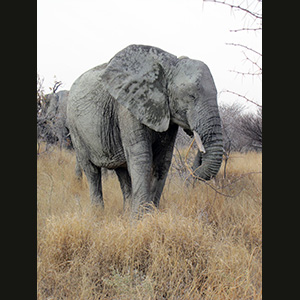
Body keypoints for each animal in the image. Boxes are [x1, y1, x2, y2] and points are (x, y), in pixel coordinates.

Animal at [67, 44, 223, 216]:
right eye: (191, 96)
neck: (169, 64)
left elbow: (163, 160)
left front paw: (150, 214)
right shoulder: (128, 106)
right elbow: (142, 158)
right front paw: (139, 218)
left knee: (121, 172)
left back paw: (126, 212)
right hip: (75, 128)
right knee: (91, 171)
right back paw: (98, 213)